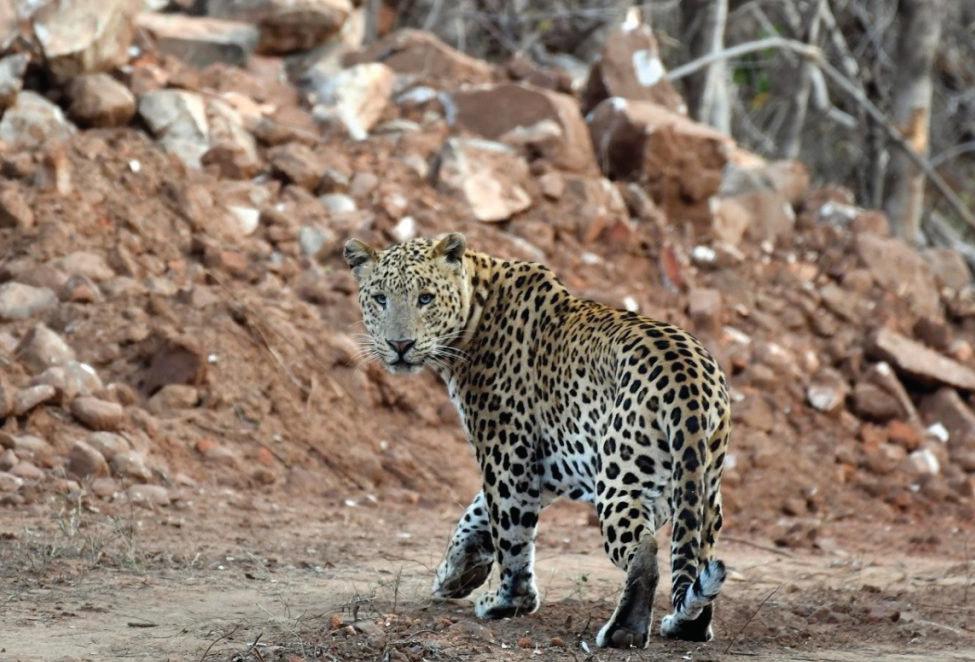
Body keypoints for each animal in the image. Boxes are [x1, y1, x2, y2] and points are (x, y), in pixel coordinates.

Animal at [344, 233, 731, 648]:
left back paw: (623, 631)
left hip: (621, 476)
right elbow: (475, 514)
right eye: (380, 298)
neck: (476, 308)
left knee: (643, 550)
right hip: (703, 487)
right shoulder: (547, 469)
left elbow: (508, 529)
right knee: (696, 555)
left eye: (426, 298)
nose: (400, 344)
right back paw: (686, 626)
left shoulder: (507, 454)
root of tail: (688, 384)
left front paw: (506, 601)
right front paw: (455, 574)